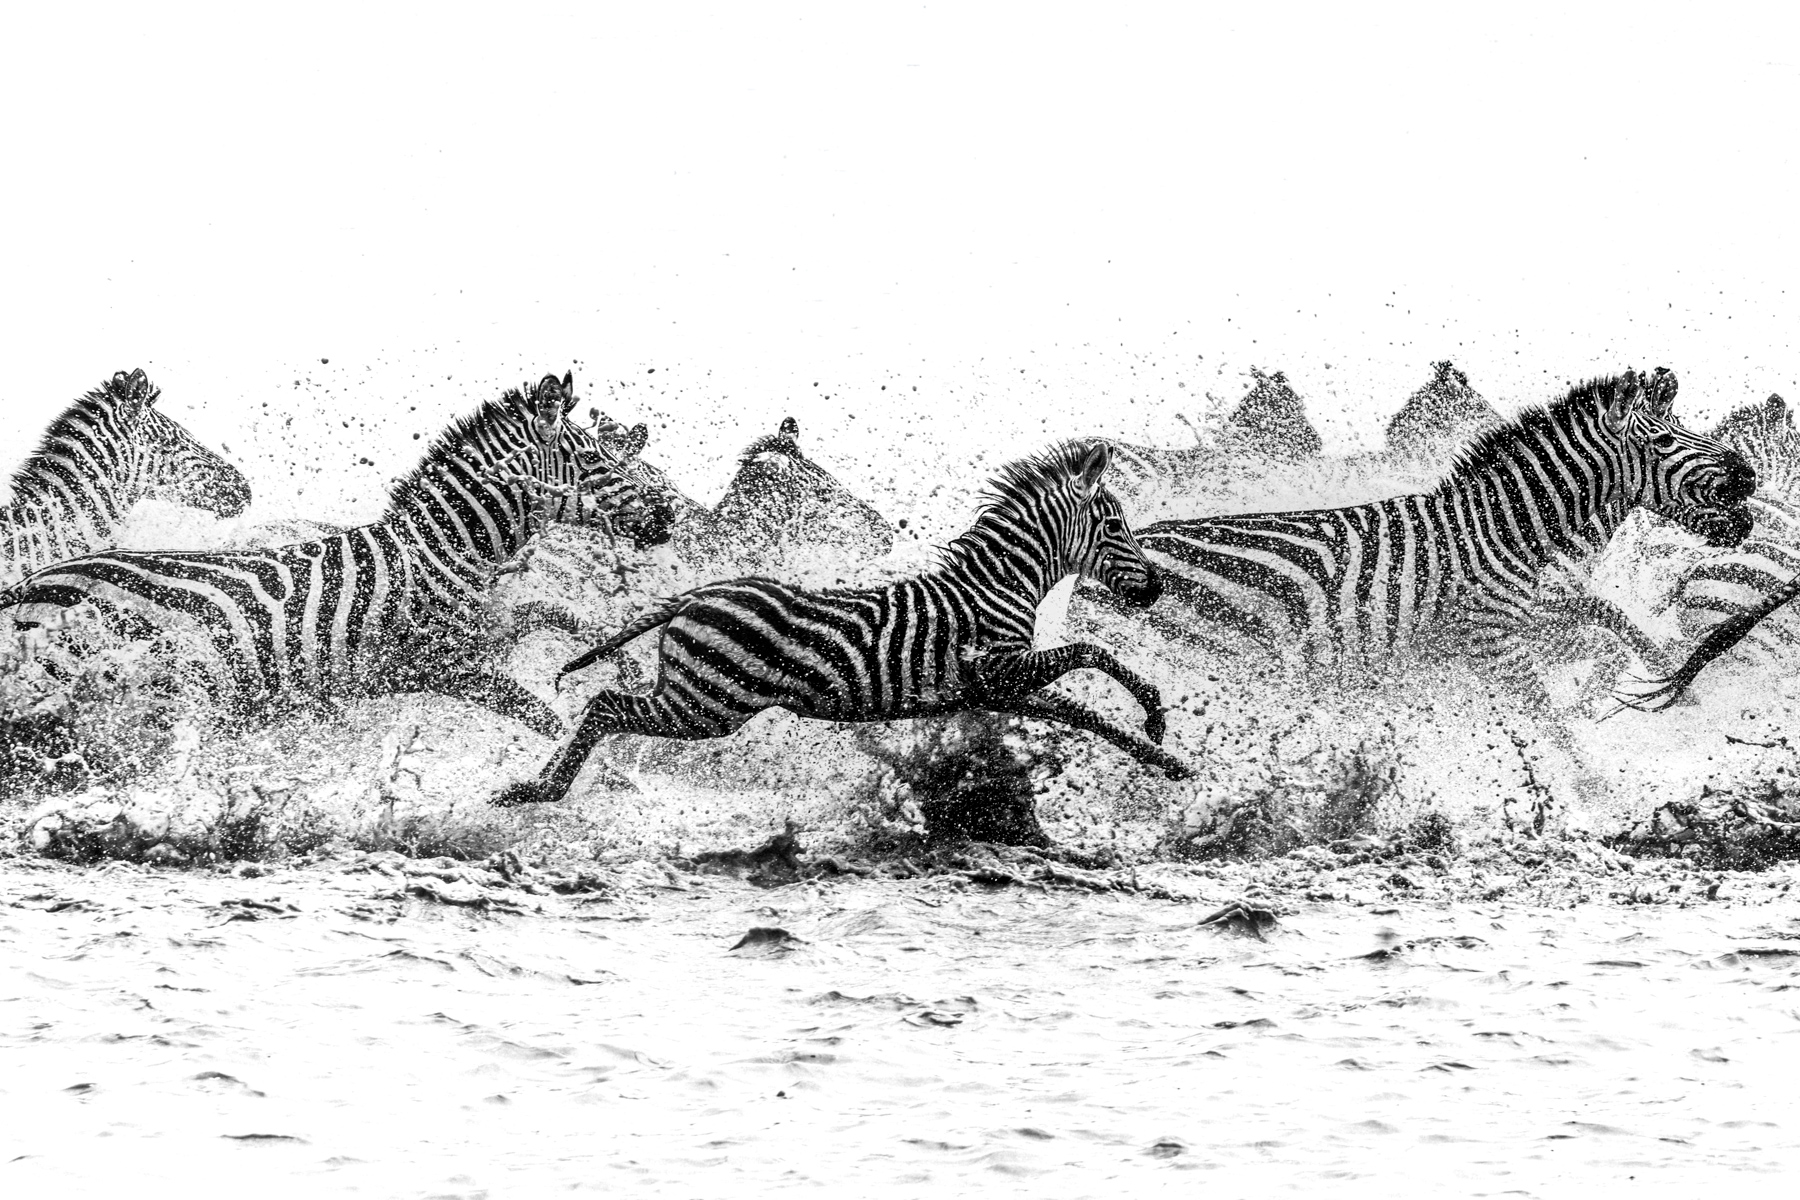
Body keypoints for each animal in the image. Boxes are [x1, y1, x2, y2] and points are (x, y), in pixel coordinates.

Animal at [492, 440, 1190, 807]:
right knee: (606, 705)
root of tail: (700, 591)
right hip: (709, 704)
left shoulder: (1005, 687)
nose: (1157, 589)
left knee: (606, 704)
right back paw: (538, 791)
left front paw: (1167, 759)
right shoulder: (995, 668)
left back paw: (535, 787)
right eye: (1115, 526)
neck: (997, 583)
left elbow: (1090, 715)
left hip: (698, 697)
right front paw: (1157, 716)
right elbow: (1093, 650)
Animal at [1114, 369, 1755, 678]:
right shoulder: (1490, 643)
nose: (1748, 475)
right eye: (1666, 440)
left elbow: (1611, 621)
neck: (1508, 530)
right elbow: (1549, 727)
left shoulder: (1532, 623)